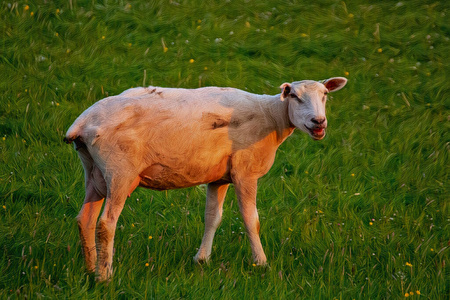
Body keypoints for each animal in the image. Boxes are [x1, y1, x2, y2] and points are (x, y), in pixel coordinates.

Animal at [63, 77, 346, 282]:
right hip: (119, 172)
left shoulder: (218, 178)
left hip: (93, 173)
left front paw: (202, 260)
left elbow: (212, 217)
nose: (319, 122)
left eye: (325, 95)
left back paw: (90, 269)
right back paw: (104, 276)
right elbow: (250, 220)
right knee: (106, 224)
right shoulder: (245, 171)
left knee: (85, 219)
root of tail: (82, 123)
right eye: (295, 97)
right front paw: (261, 263)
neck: (272, 116)